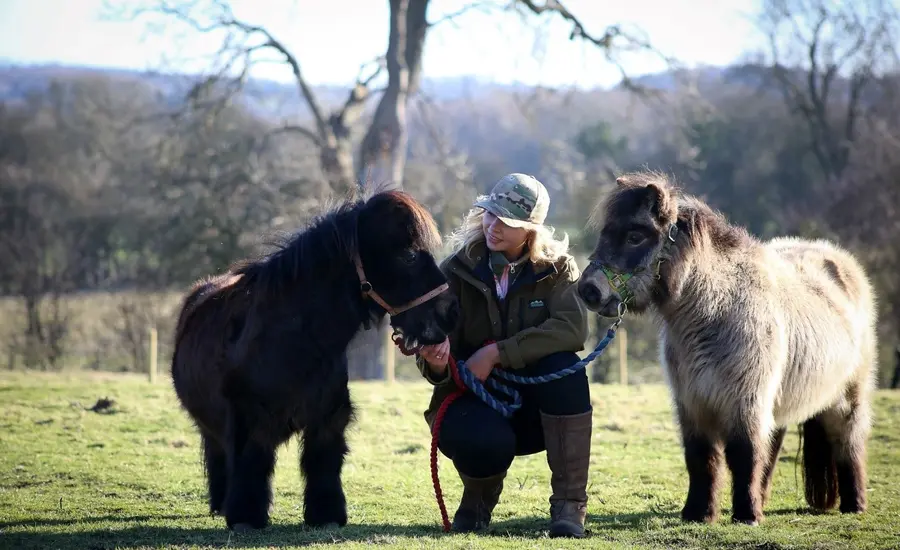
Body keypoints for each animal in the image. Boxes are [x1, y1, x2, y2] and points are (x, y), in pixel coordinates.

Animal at [170, 189, 460, 532]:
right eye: (410, 256)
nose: (451, 312)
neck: (295, 343)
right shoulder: (248, 418)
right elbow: (252, 461)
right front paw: (245, 517)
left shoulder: (328, 418)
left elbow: (323, 462)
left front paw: (326, 515)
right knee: (216, 450)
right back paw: (221, 502)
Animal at [575, 170, 877, 526]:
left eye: (635, 236)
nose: (588, 290)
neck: (716, 311)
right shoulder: (693, 405)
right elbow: (701, 459)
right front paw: (698, 513)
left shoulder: (745, 402)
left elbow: (744, 454)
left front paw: (746, 515)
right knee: (772, 448)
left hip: (847, 399)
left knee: (848, 443)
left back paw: (854, 504)